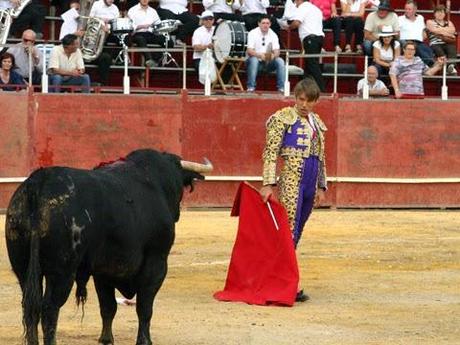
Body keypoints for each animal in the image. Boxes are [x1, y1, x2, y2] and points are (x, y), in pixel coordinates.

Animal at [4, 148, 212, 344]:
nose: (177, 213)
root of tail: (38, 183)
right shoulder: (156, 263)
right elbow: (144, 307)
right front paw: (144, 340)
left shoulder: (103, 271)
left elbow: (108, 306)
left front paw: (106, 338)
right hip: (62, 271)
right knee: (49, 308)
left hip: (23, 268)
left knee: (30, 307)